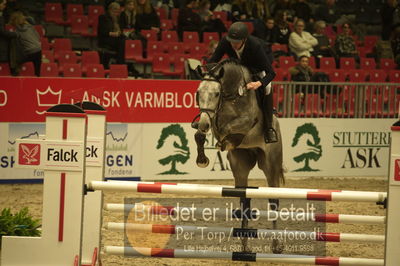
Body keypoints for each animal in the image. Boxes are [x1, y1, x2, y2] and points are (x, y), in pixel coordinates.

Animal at [193, 59, 284, 254]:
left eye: (216, 93)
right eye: (198, 93)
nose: (203, 124)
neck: (231, 94)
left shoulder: (246, 121)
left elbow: (228, 129)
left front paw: (225, 142)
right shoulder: (211, 119)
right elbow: (201, 135)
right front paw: (202, 159)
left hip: (271, 166)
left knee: (273, 201)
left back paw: (276, 245)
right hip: (240, 166)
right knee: (244, 200)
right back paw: (244, 245)